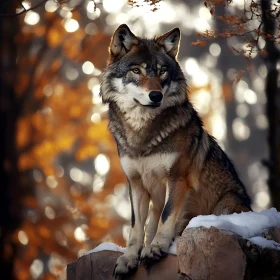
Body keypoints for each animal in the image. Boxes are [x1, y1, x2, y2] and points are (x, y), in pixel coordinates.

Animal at [100, 24, 252, 278]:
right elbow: (135, 226)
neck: (143, 134)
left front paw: (156, 248)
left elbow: (167, 215)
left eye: (162, 72)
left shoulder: (177, 177)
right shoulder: (136, 183)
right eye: (136, 71)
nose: (156, 95)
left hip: (227, 202)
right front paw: (129, 258)